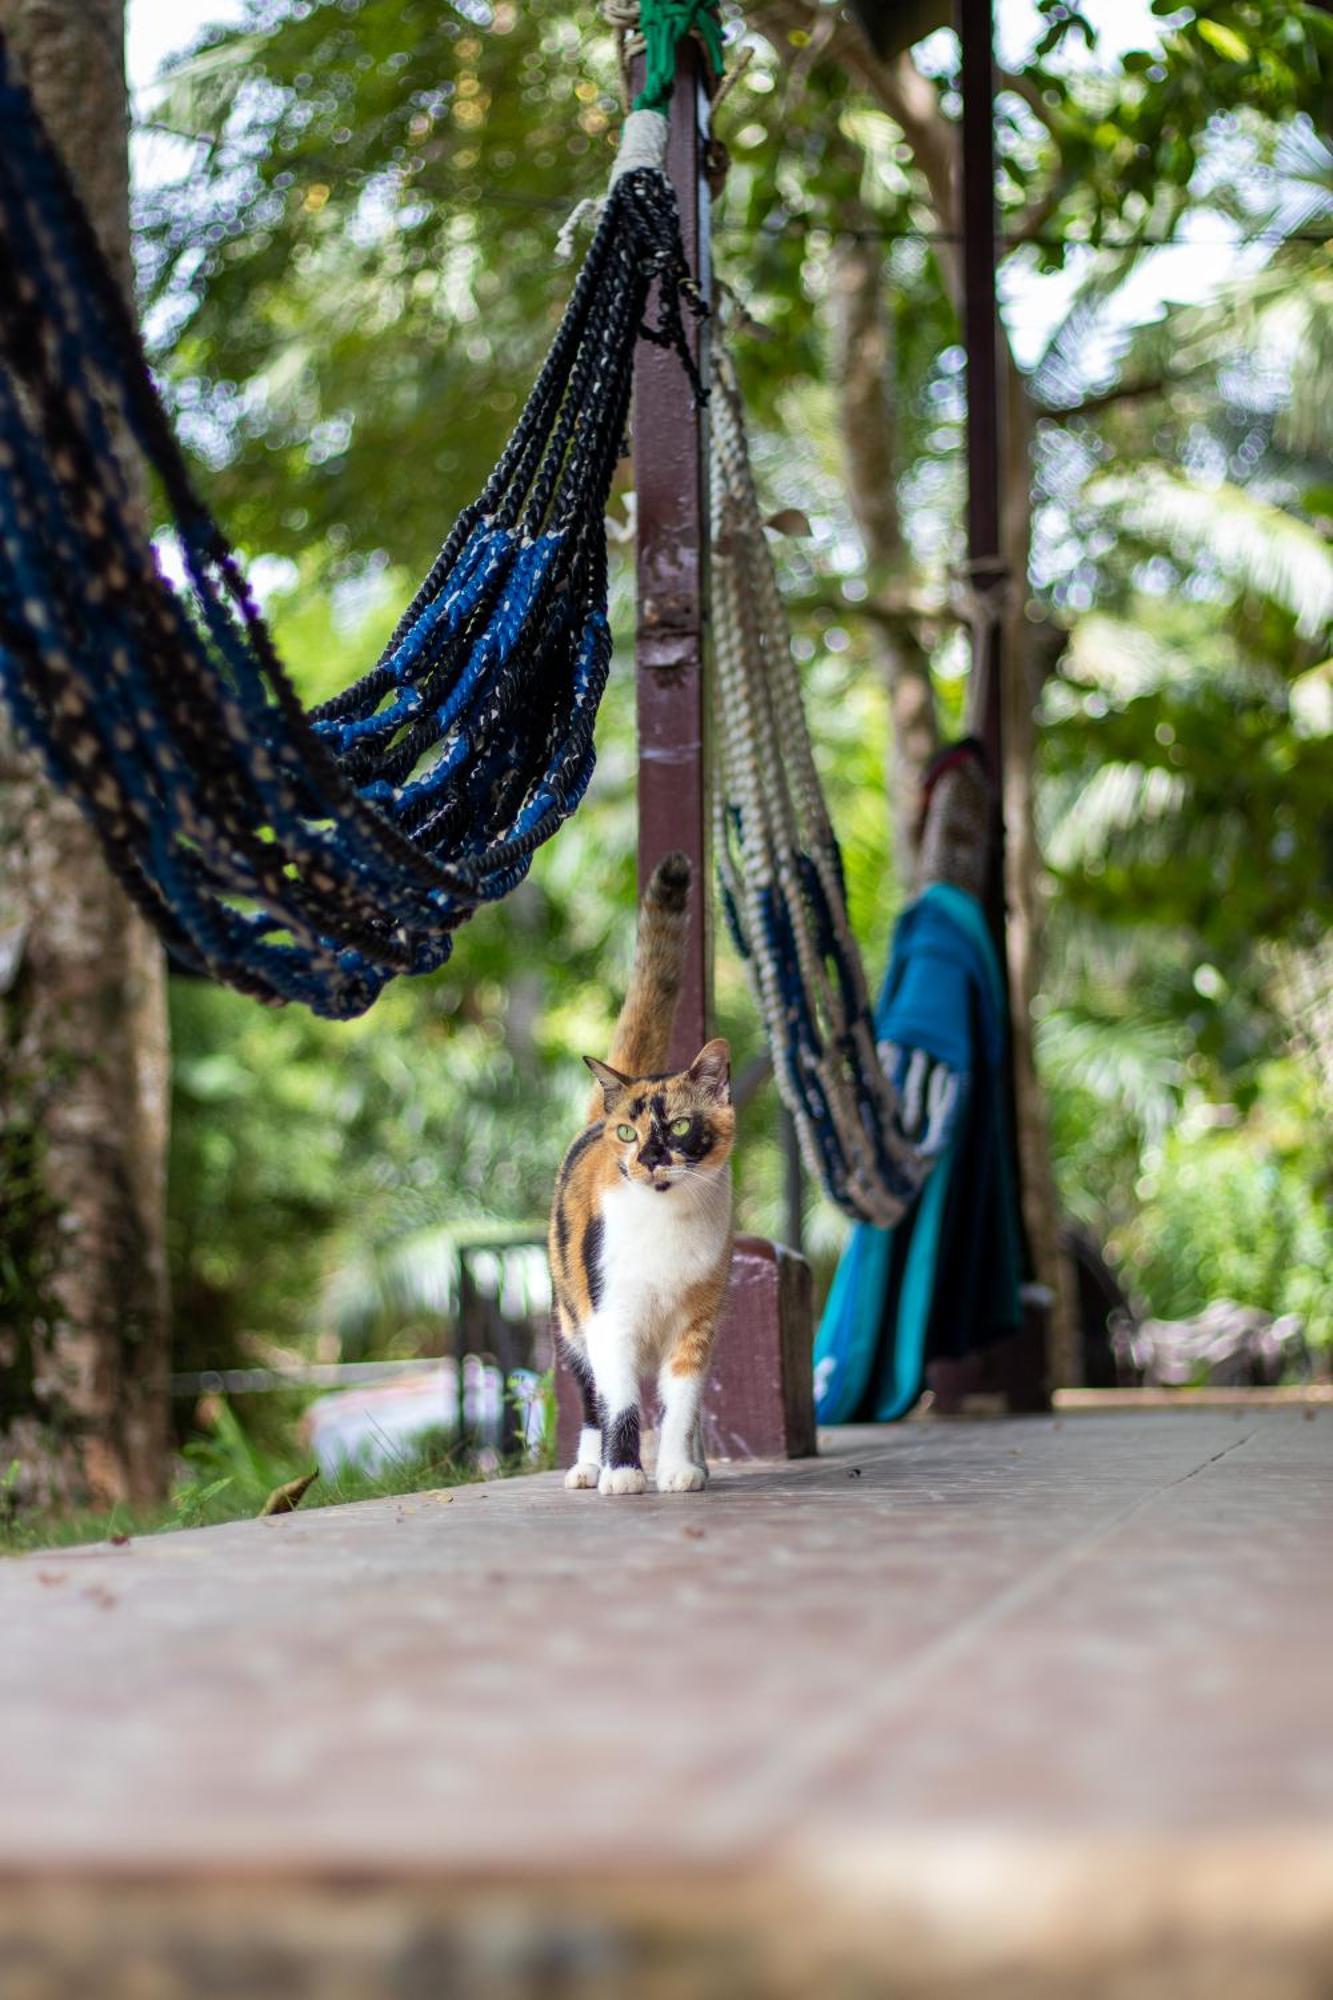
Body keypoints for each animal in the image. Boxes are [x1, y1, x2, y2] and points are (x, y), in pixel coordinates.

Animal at [544, 852, 732, 1496]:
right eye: (629, 1133)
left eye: (678, 1127)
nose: (649, 1158)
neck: (665, 1225)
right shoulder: (612, 1319)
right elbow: (620, 1403)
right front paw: (622, 1473)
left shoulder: (697, 1324)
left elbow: (680, 1406)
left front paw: (678, 1469)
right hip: (570, 1318)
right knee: (590, 1399)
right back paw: (587, 1466)